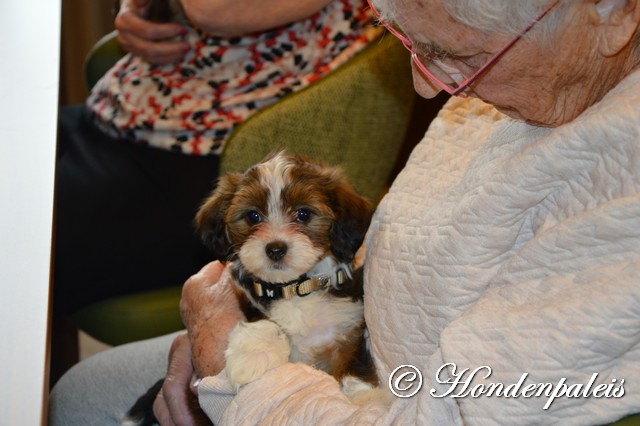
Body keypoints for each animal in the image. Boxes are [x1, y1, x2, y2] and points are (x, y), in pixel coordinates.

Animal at [194, 151, 376, 392]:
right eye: (253, 216)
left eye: (303, 214)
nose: (275, 249)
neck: (295, 287)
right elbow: (264, 320)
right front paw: (251, 357)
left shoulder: (349, 328)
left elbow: (353, 363)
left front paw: (361, 392)